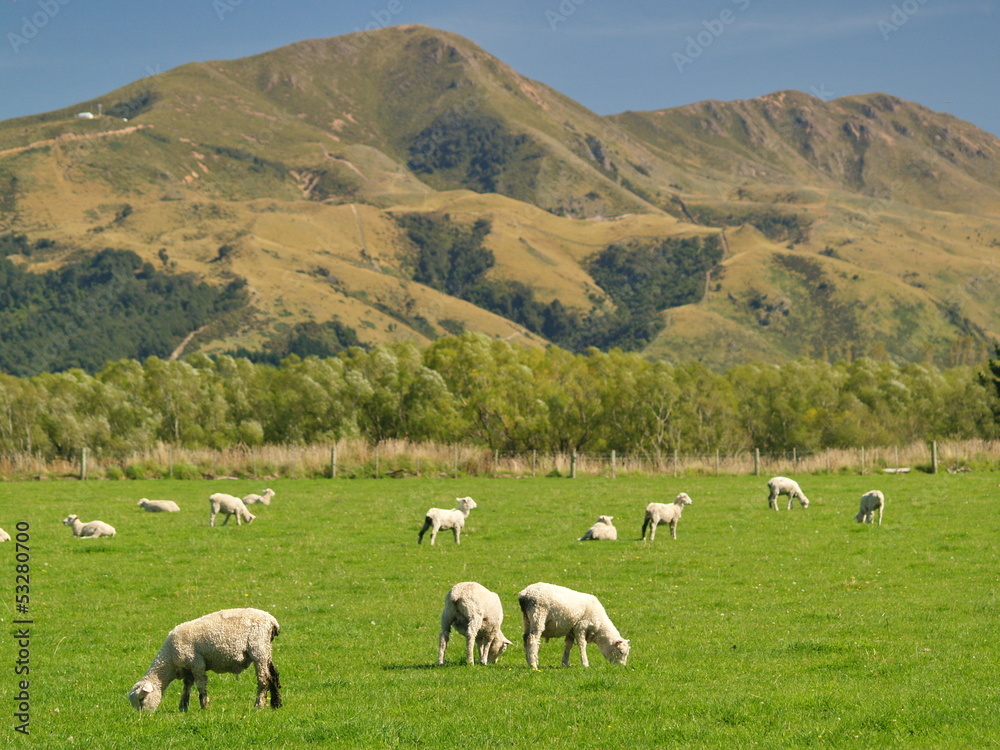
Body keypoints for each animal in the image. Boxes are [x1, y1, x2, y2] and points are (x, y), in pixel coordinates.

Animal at [128, 608, 282, 712]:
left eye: (141, 699)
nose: (143, 717)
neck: (169, 660)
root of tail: (271, 620)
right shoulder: (188, 668)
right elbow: (187, 687)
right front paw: (183, 707)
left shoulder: (197, 664)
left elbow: (201, 685)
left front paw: (204, 706)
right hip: (266, 649)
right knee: (274, 675)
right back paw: (276, 704)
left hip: (258, 648)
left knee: (264, 679)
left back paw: (259, 705)